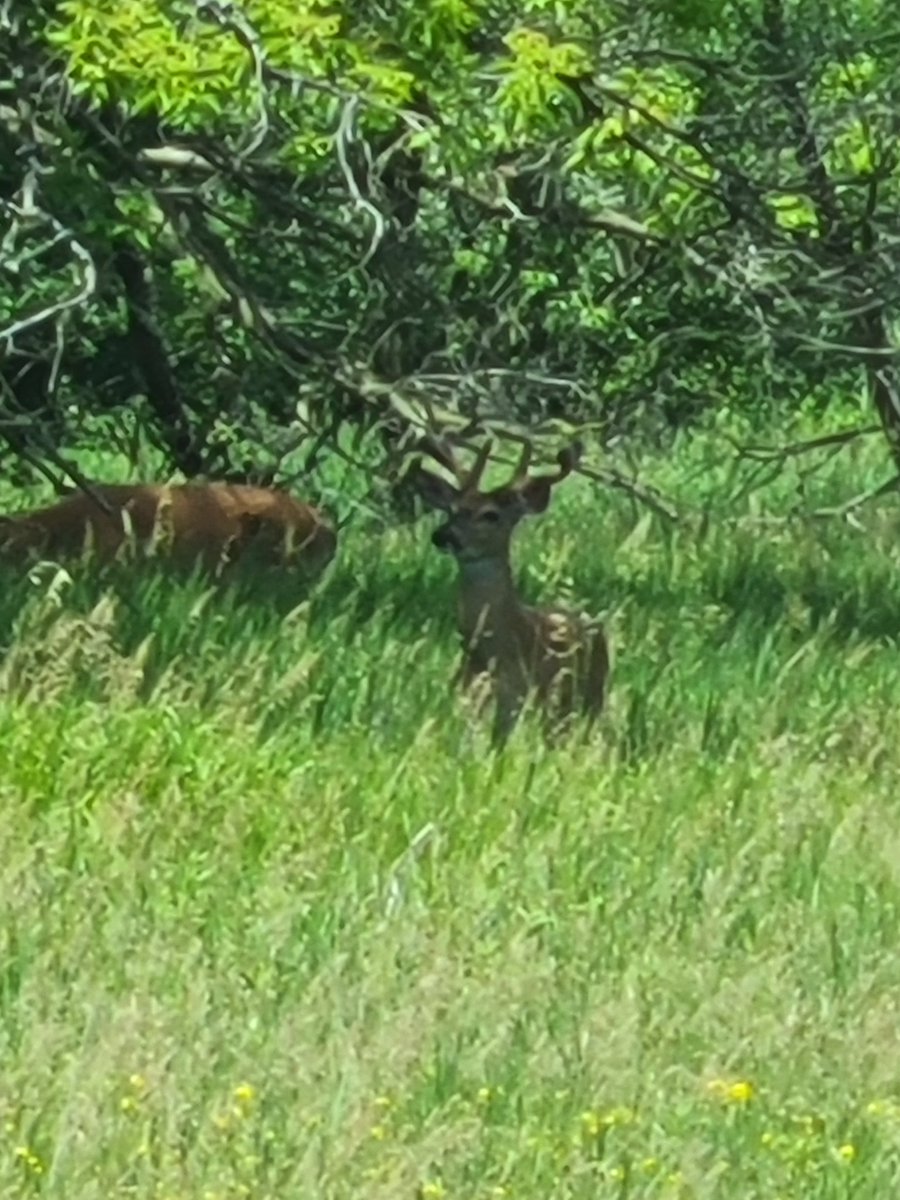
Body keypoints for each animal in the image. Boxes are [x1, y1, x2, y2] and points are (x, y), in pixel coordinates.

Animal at [411, 435, 610, 747]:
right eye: (451, 510)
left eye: (490, 515)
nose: (442, 535)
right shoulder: (466, 692)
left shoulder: (515, 697)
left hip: (587, 697)